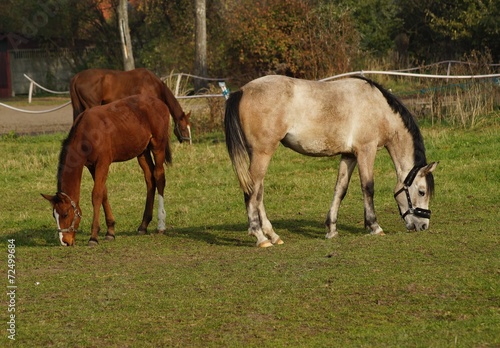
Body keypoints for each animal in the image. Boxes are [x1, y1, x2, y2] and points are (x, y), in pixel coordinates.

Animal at [41, 94, 174, 246]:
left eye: (65, 214)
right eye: (54, 215)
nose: (65, 241)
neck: (87, 133)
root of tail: (160, 103)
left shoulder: (103, 163)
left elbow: (96, 195)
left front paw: (93, 236)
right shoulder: (91, 166)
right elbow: (103, 192)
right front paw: (110, 231)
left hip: (158, 146)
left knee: (159, 177)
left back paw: (161, 225)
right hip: (142, 151)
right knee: (149, 178)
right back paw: (143, 225)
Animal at [225, 75, 440, 247]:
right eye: (422, 191)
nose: (424, 225)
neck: (379, 109)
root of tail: (242, 90)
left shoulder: (349, 155)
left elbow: (340, 189)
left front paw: (331, 230)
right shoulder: (366, 150)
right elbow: (368, 187)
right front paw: (374, 226)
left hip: (259, 154)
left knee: (258, 192)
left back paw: (273, 235)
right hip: (262, 153)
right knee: (252, 192)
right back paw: (260, 237)